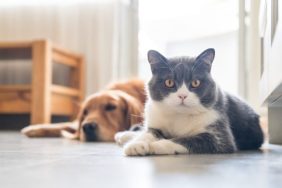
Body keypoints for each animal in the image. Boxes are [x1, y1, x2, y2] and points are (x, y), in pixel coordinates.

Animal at [113, 48, 264, 156]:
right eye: (169, 82)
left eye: (195, 82)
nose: (182, 96)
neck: (180, 115)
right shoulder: (156, 121)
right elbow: (149, 132)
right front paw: (136, 145)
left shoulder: (220, 137)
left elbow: (185, 139)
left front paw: (157, 145)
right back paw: (124, 135)